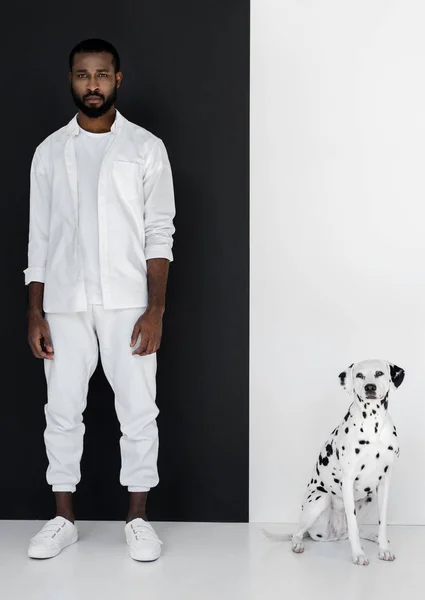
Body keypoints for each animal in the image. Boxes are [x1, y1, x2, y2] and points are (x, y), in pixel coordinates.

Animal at [264, 358, 404, 564]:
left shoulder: (385, 481)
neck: (373, 424)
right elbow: (353, 524)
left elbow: (382, 522)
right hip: (320, 500)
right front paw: (358, 554)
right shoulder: (348, 480)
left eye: (379, 373)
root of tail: (334, 535)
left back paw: (374, 536)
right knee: (298, 533)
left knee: (356, 530)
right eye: (359, 375)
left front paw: (384, 548)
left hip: (370, 496)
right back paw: (298, 544)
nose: (370, 387)